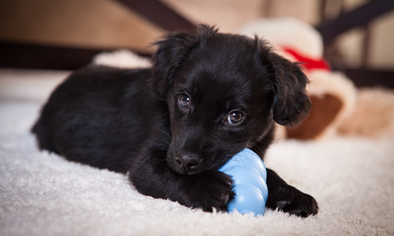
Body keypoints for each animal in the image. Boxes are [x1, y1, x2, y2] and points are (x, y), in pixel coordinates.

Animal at [32, 25, 318, 218]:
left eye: (235, 117)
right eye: (184, 100)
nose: (185, 162)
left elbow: (269, 172)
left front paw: (291, 194)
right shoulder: (146, 162)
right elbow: (163, 172)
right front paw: (206, 186)